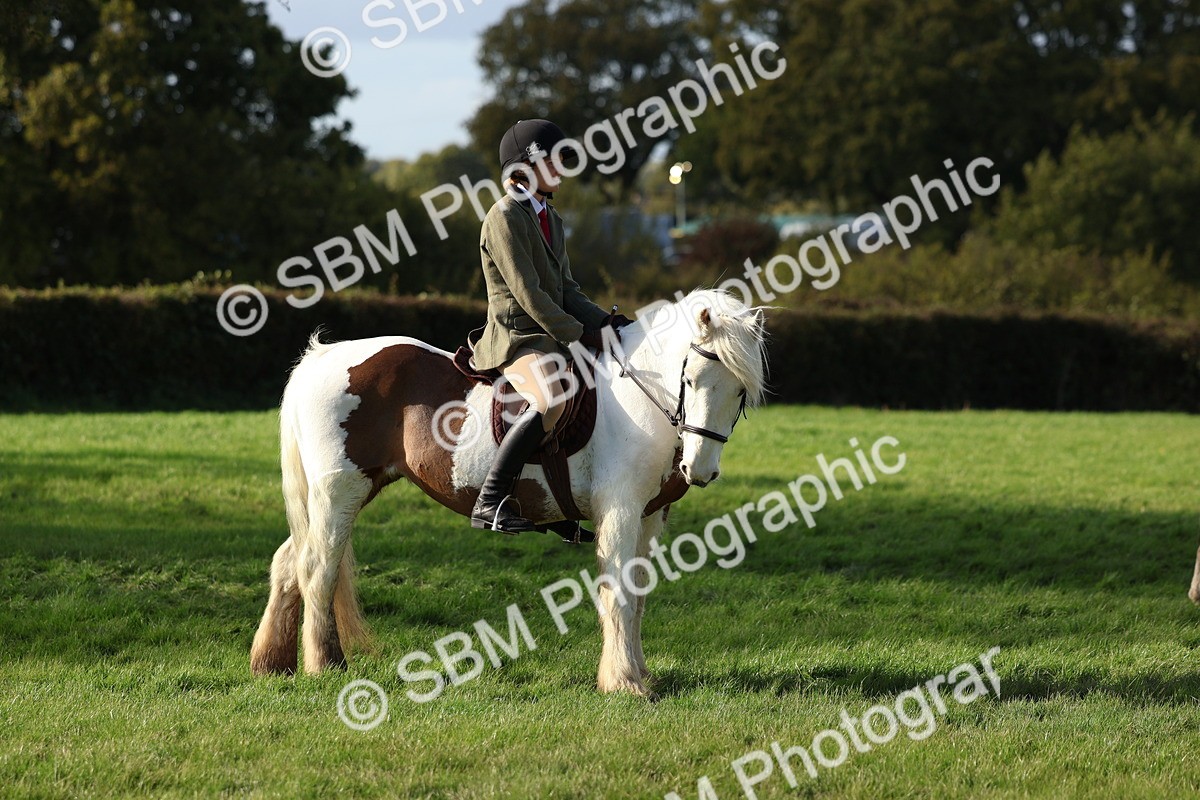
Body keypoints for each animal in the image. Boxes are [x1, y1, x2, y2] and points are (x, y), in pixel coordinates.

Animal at [249, 289, 768, 696]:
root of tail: (323, 357)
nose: (700, 469)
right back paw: (324, 666)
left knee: (289, 561)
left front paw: (639, 673)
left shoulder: (648, 516)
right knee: (318, 569)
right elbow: (618, 592)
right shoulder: (619, 510)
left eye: (741, 392)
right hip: (339, 493)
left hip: (343, 493)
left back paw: (272, 664)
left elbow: (638, 594)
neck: (638, 394)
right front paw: (623, 682)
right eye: (691, 379)